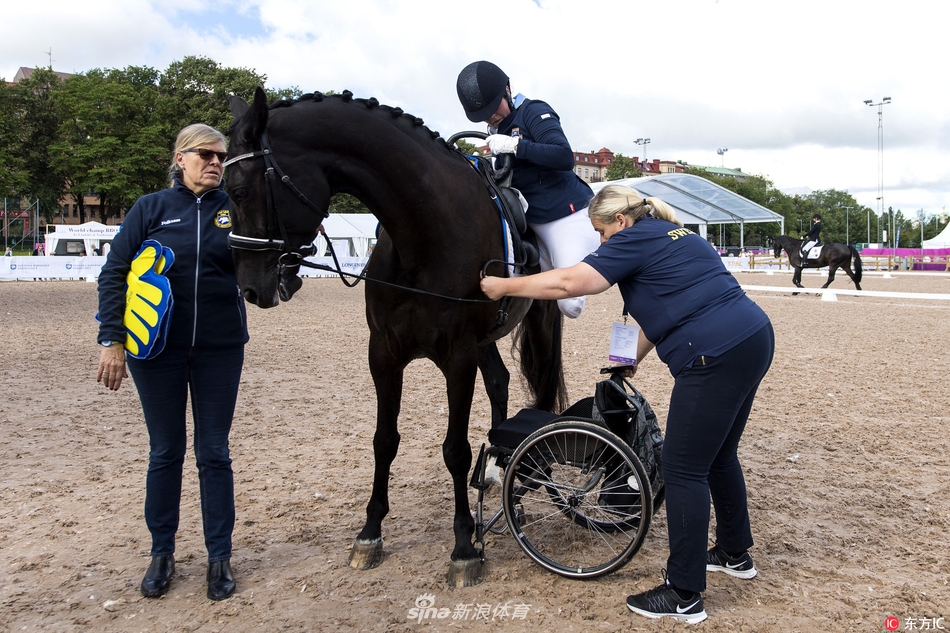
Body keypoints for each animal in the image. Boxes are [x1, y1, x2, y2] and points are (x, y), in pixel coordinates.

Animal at [224, 89, 568, 588]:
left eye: (240, 191)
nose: (250, 288)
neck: (422, 235)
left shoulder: (457, 358)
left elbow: (455, 449)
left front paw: (463, 546)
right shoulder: (383, 354)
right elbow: (383, 440)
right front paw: (370, 532)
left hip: (532, 327)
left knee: (537, 391)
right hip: (483, 341)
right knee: (500, 383)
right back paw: (498, 469)